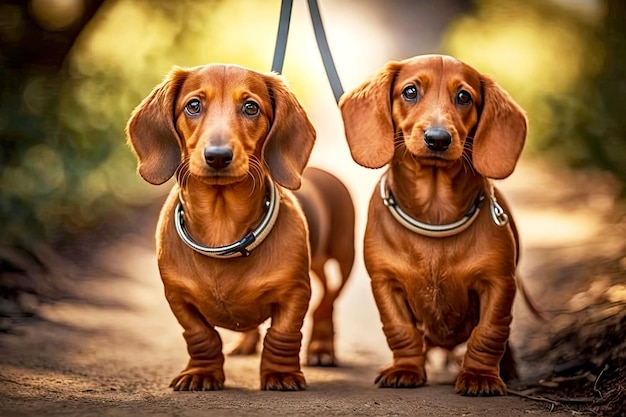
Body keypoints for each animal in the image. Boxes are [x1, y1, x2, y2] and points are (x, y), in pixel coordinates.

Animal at [125, 63, 354, 388]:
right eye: (193, 106)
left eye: (250, 107)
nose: (218, 157)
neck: (224, 232)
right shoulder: (178, 298)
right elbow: (200, 336)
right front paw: (201, 373)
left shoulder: (296, 294)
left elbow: (283, 335)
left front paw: (281, 373)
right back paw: (247, 342)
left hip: (345, 258)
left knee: (328, 301)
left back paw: (321, 347)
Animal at [338, 53, 524, 394]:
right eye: (410, 91)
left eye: (464, 97)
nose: (438, 139)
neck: (434, 217)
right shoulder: (385, 283)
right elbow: (400, 330)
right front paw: (406, 369)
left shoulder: (499, 283)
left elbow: (489, 333)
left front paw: (480, 376)